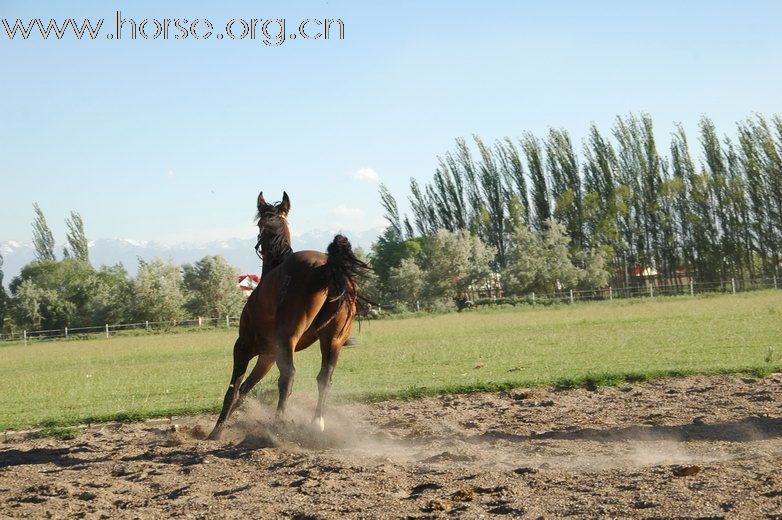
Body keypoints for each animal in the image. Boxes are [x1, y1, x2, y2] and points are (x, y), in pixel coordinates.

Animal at [208, 191, 368, 438]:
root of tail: (326, 268)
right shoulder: (268, 355)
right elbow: (245, 389)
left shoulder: (244, 346)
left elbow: (233, 389)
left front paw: (216, 432)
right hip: (333, 340)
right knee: (324, 377)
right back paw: (316, 423)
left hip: (287, 338)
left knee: (288, 376)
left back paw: (277, 426)